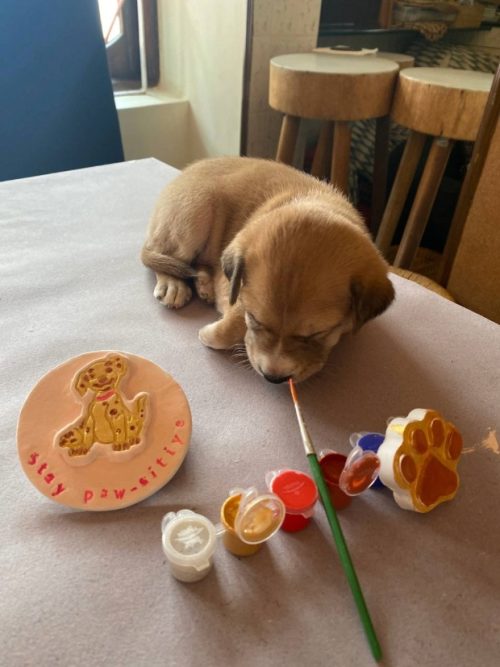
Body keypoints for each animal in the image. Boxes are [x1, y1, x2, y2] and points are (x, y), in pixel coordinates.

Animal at [142, 157, 394, 384]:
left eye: (316, 334)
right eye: (255, 319)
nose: (273, 378)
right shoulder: (236, 291)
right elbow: (230, 324)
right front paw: (210, 333)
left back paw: (204, 284)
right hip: (193, 215)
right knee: (161, 254)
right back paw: (173, 286)